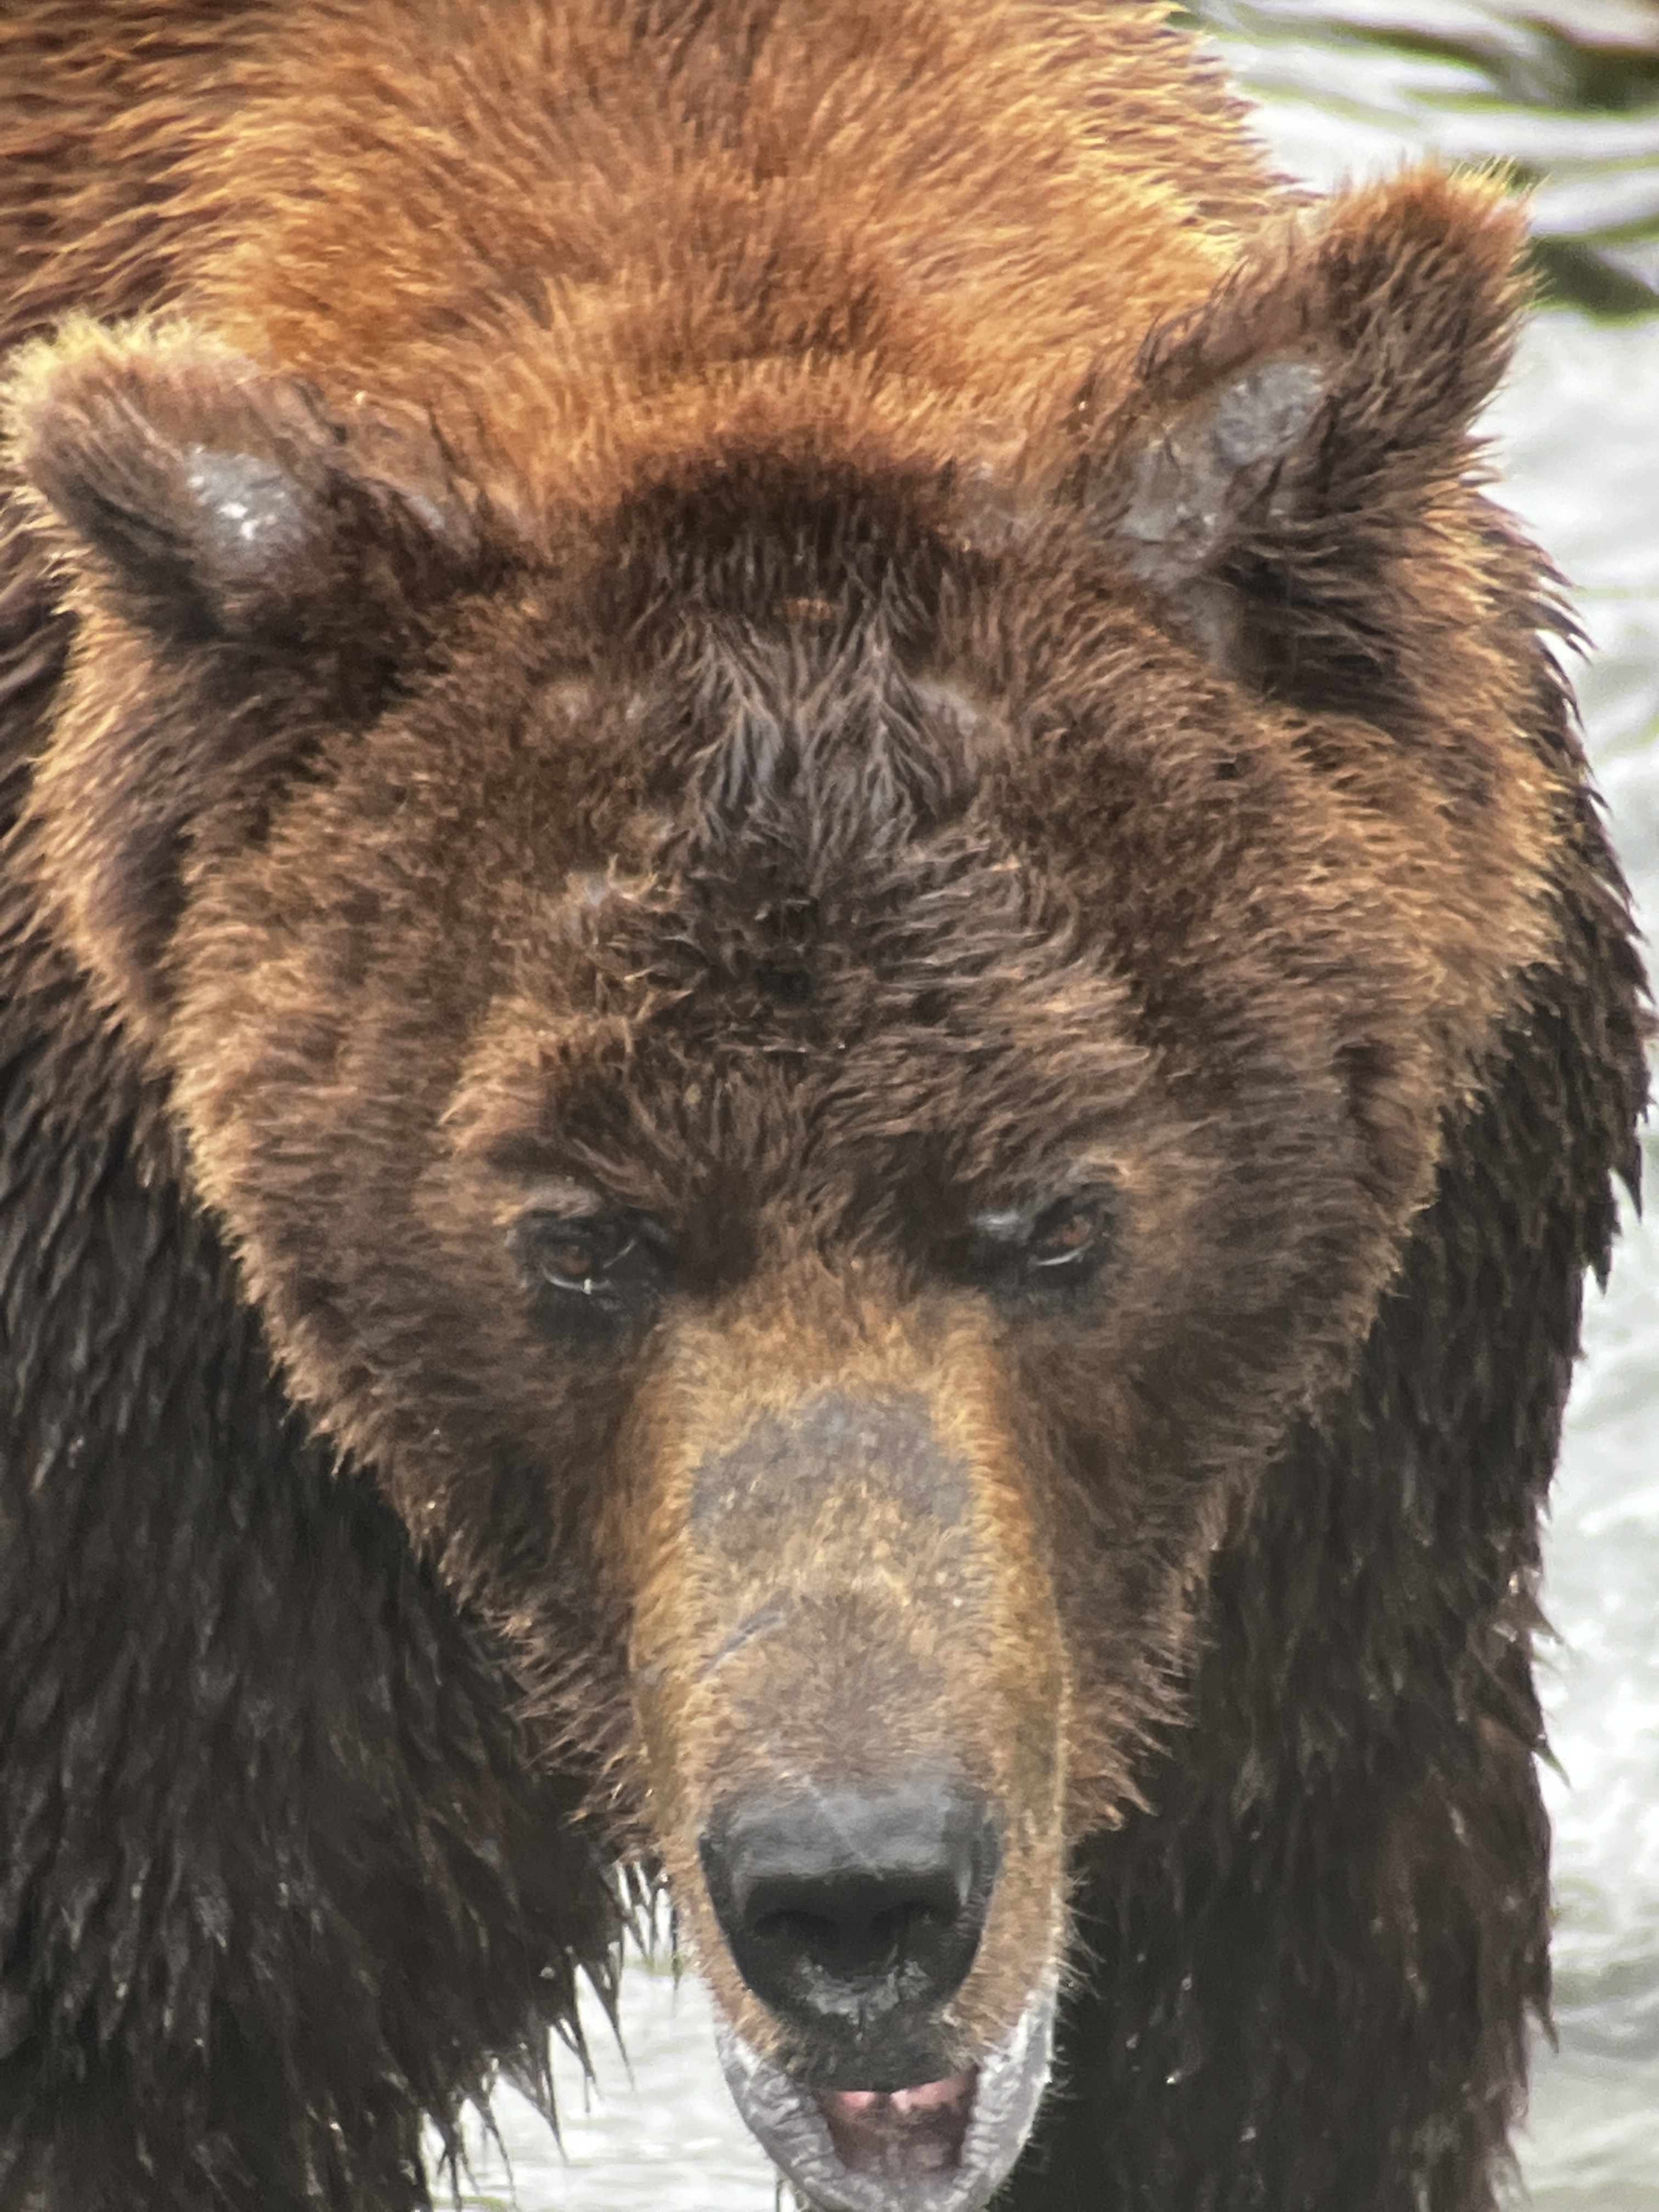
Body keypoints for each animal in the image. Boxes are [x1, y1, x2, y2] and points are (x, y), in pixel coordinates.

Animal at [0, 2, 1648, 2209]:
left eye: (1057, 1212)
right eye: (578, 1233)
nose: (854, 1893)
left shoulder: (1357, 1479)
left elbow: (1276, 2024)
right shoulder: (154, 1488)